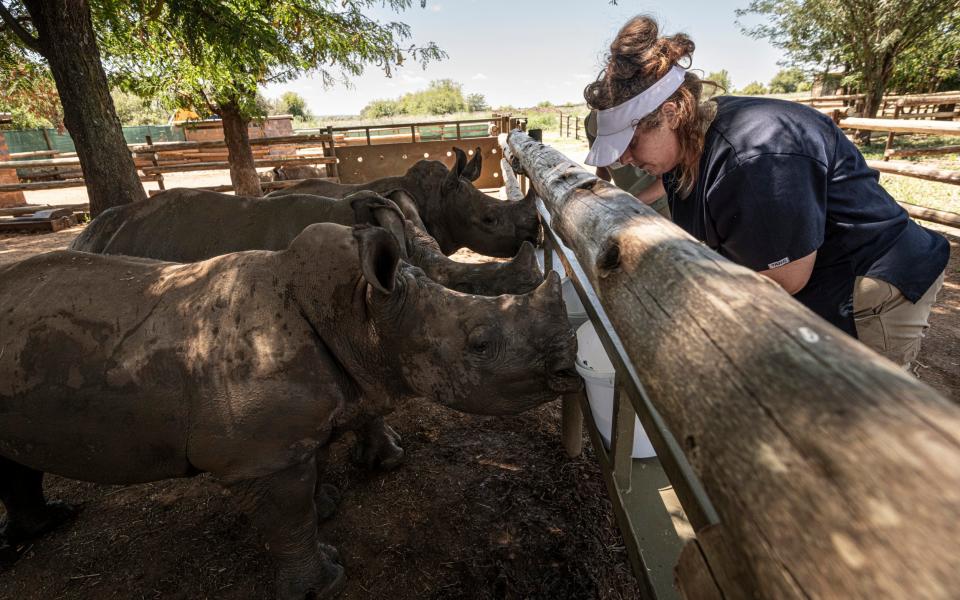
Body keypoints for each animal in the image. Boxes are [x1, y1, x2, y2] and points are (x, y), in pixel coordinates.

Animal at [0, 221, 580, 600]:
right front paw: (324, 583)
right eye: (480, 344)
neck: (361, 314)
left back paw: (50, 524)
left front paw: (327, 506)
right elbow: (288, 518)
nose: (568, 365)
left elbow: (311, 472)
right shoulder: (260, 454)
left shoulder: (296, 429)